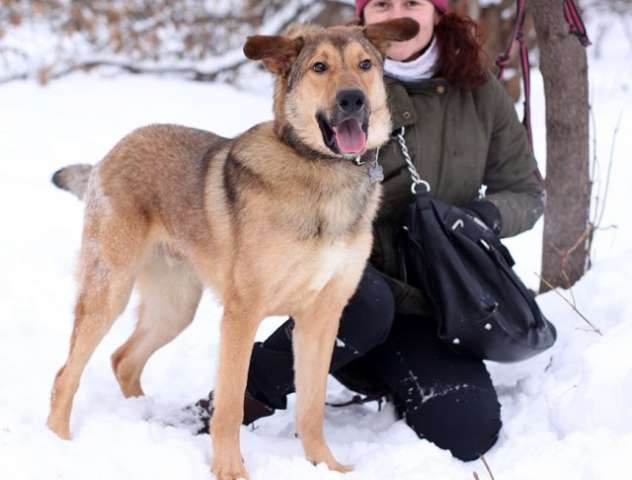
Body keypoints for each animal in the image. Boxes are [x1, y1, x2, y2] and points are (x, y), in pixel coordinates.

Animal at [48, 18, 420, 480]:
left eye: (365, 64)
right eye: (319, 67)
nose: (352, 98)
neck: (323, 172)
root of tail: (112, 153)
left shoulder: (322, 317)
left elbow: (311, 408)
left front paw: (325, 465)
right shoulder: (243, 314)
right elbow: (228, 405)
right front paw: (229, 470)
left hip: (175, 307)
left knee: (123, 359)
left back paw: (143, 420)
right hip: (108, 291)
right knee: (67, 373)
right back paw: (60, 441)